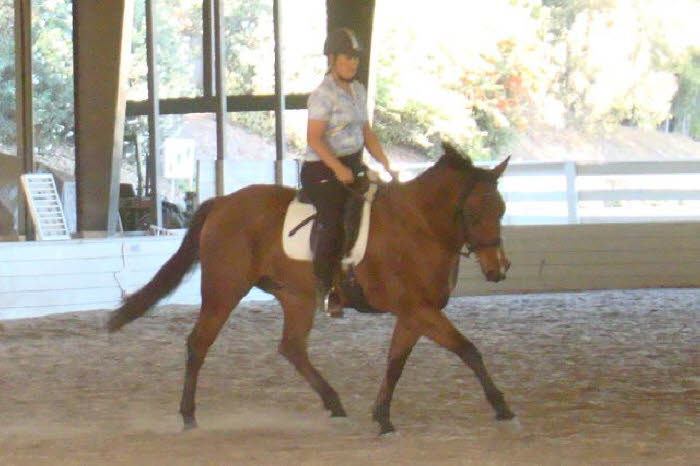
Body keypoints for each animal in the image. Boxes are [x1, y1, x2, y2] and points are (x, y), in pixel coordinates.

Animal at [108, 141, 516, 434]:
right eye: (474, 212)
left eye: (501, 209)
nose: (498, 269)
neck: (418, 226)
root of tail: (223, 201)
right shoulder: (418, 309)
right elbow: (468, 350)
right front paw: (501, 407)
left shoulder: (415, 312)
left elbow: (395, 363)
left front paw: (382, 416)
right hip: (224, 289)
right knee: (198, 344)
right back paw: (189, 416)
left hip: (297, 297)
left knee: (291, 348)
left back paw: (334, 403)